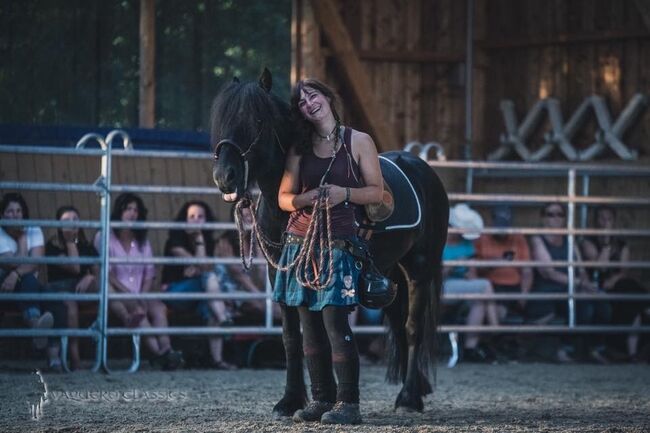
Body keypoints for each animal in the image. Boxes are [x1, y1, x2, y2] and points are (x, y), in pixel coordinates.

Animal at [210, 68, 448, 416]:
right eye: (221, 121)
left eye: (256, 120)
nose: (224, 177)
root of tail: (420, 167)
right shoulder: (280, 272)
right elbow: (293, 337)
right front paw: (292, 400)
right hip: (390, 272)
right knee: (398, 323)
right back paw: (414, 389)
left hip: (419, 268)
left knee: (412, 328)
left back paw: (409, 398)